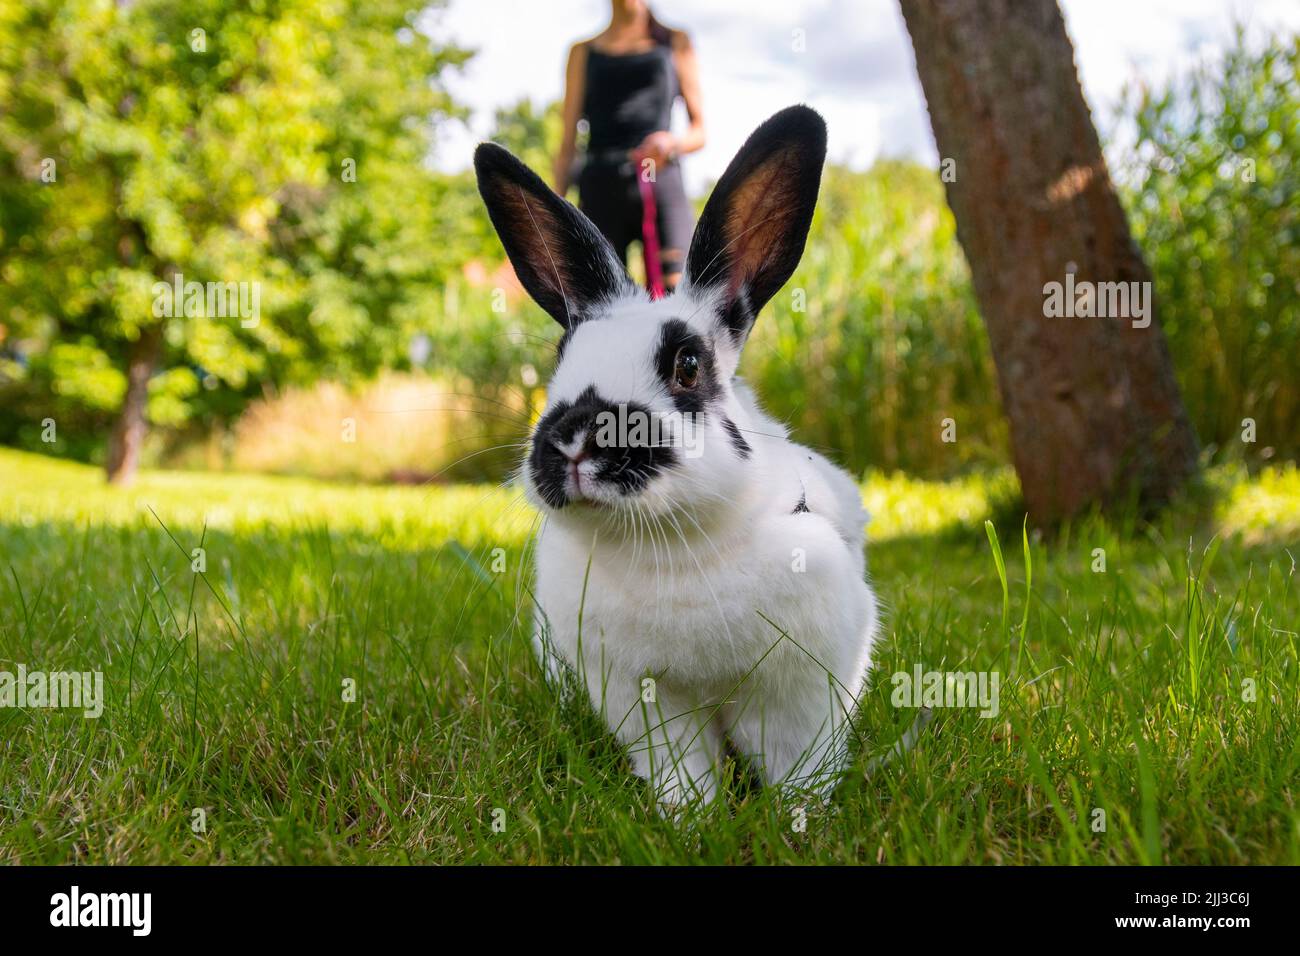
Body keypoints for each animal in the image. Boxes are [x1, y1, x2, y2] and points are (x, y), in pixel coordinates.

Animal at [474, 105, 879, 810]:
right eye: (561, 357)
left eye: (687, 365)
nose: (575, 436)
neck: (672, 547)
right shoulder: (642, 697)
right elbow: (680, 767)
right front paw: (690, 817)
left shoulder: (804, 689)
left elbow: (800, 766)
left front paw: (798, 819)